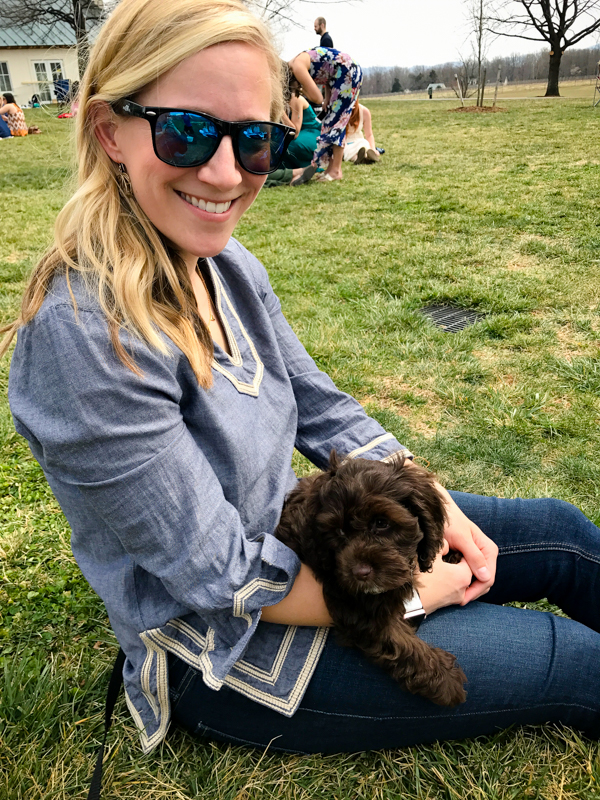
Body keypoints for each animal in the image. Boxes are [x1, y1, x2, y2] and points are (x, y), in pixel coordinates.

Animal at [275, 452, 467, 707]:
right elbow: (400, 641)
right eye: (338, 531)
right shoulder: (355, 604)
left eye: (381, 523)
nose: (360, 572)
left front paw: (452, 555)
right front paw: (446, 680)